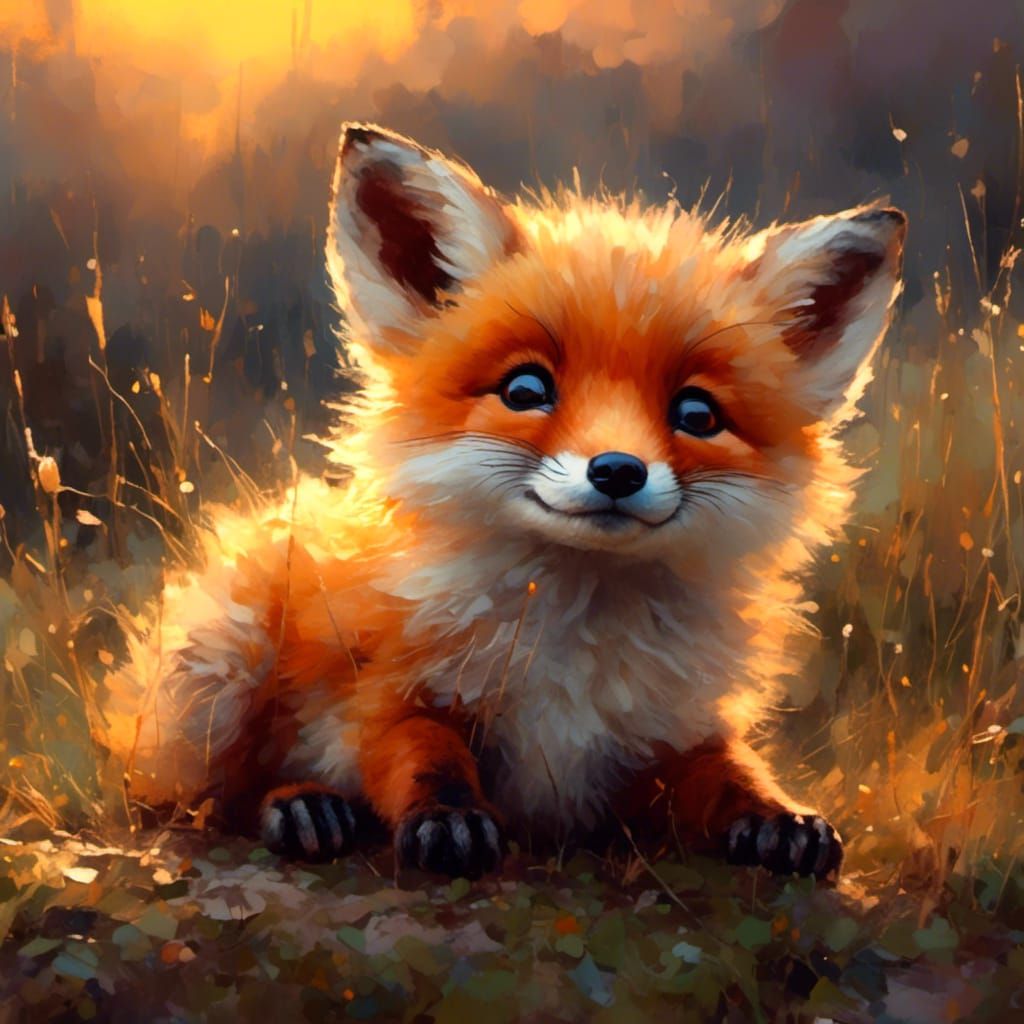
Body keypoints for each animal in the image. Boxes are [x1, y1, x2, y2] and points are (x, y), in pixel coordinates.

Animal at [102, 123, 905, 882]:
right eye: (525, 390)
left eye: (697, 414)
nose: (618, 471)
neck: (575, 642)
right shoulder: (387, 690)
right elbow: (420, 749)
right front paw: (448, 817)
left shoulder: (666, 738)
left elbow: (731, 770)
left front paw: (779, 816)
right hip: (218, 679)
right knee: (199, 802)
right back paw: (302, 809)